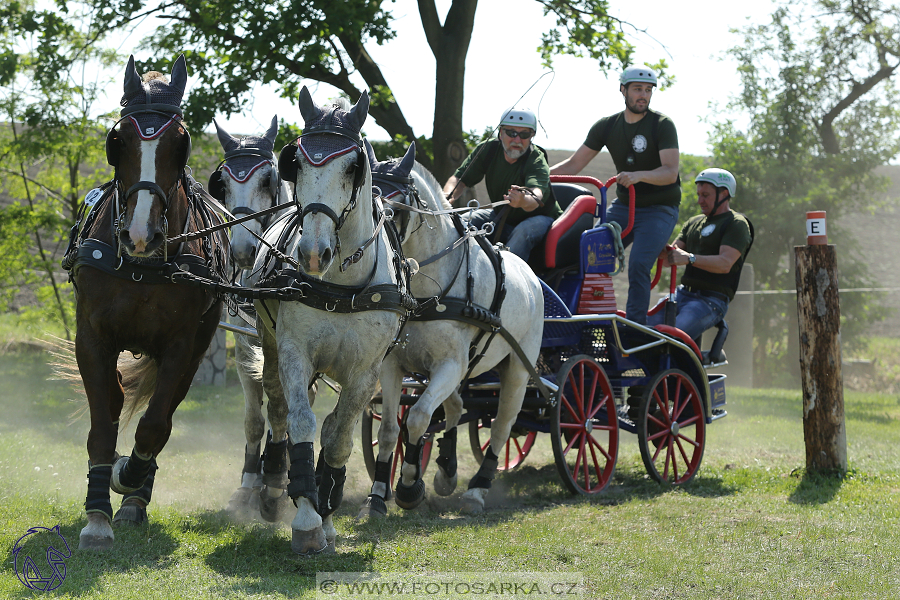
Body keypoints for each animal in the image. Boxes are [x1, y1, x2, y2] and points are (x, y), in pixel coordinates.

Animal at [62, 55, 229, 548]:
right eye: (119, 141)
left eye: (181, 143)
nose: (141, 235)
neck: (141, 263)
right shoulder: (91, 338)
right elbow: (102, 424)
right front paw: (97, 515)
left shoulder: (181, 346)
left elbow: (154, 426)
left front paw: (129, 478)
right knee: (116, 401)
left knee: (161, 416)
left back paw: (136, 496)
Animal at [246, 86, 408, 556]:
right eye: (296, 163)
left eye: (353, 166)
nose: (314, 253)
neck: (341, 285)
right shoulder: (295, 352)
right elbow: (302, 422)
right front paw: (306, 517)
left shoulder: (366, 373)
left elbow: (338, 440)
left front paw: (326, 507)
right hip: (273, 349)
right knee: (280, 410)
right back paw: (275, 485)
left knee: (338, 425)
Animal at [356, 141, 540, 516]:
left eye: (394, 210)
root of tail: (532, 277)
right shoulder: (393, 365)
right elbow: (390, 429)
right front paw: (377, 496)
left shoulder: (450, 364)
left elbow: (417, 418)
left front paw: (409, 485)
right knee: (456, 407)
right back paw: (447, 469)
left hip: (516, 368)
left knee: (501, 426)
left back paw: (477, 489)